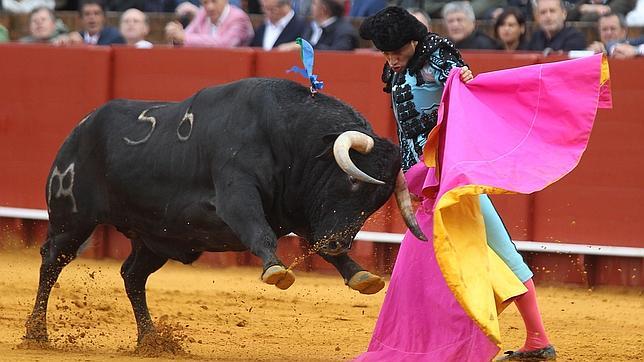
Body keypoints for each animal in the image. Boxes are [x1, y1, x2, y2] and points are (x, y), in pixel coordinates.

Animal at [25, 78, 426, 344]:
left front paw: (362, 276)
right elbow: (258, 230)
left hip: (155, 237)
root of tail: (81, 127)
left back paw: (151, 340)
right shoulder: (237, 193)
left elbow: (316, 243)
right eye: (353, 182)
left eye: (376, 203)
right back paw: (37, 332)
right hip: (72, 218)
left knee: (132, 275)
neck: (288, 137)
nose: (340, 242)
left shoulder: (301, 211)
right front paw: (276, 270)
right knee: (52, 262)